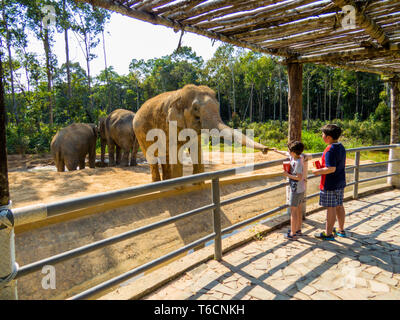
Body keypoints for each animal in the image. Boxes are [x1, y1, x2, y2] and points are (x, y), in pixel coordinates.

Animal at [133, 84, 270, 181]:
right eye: (195, 108)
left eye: (218, 106)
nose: (267, 149)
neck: (179, 95)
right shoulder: (169, 125)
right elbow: (176, 150)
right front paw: (180, 189)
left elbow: (196, 148)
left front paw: (198, 184)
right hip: (140, 134)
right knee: (152, 156)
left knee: (164, 156)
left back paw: (166, 183)